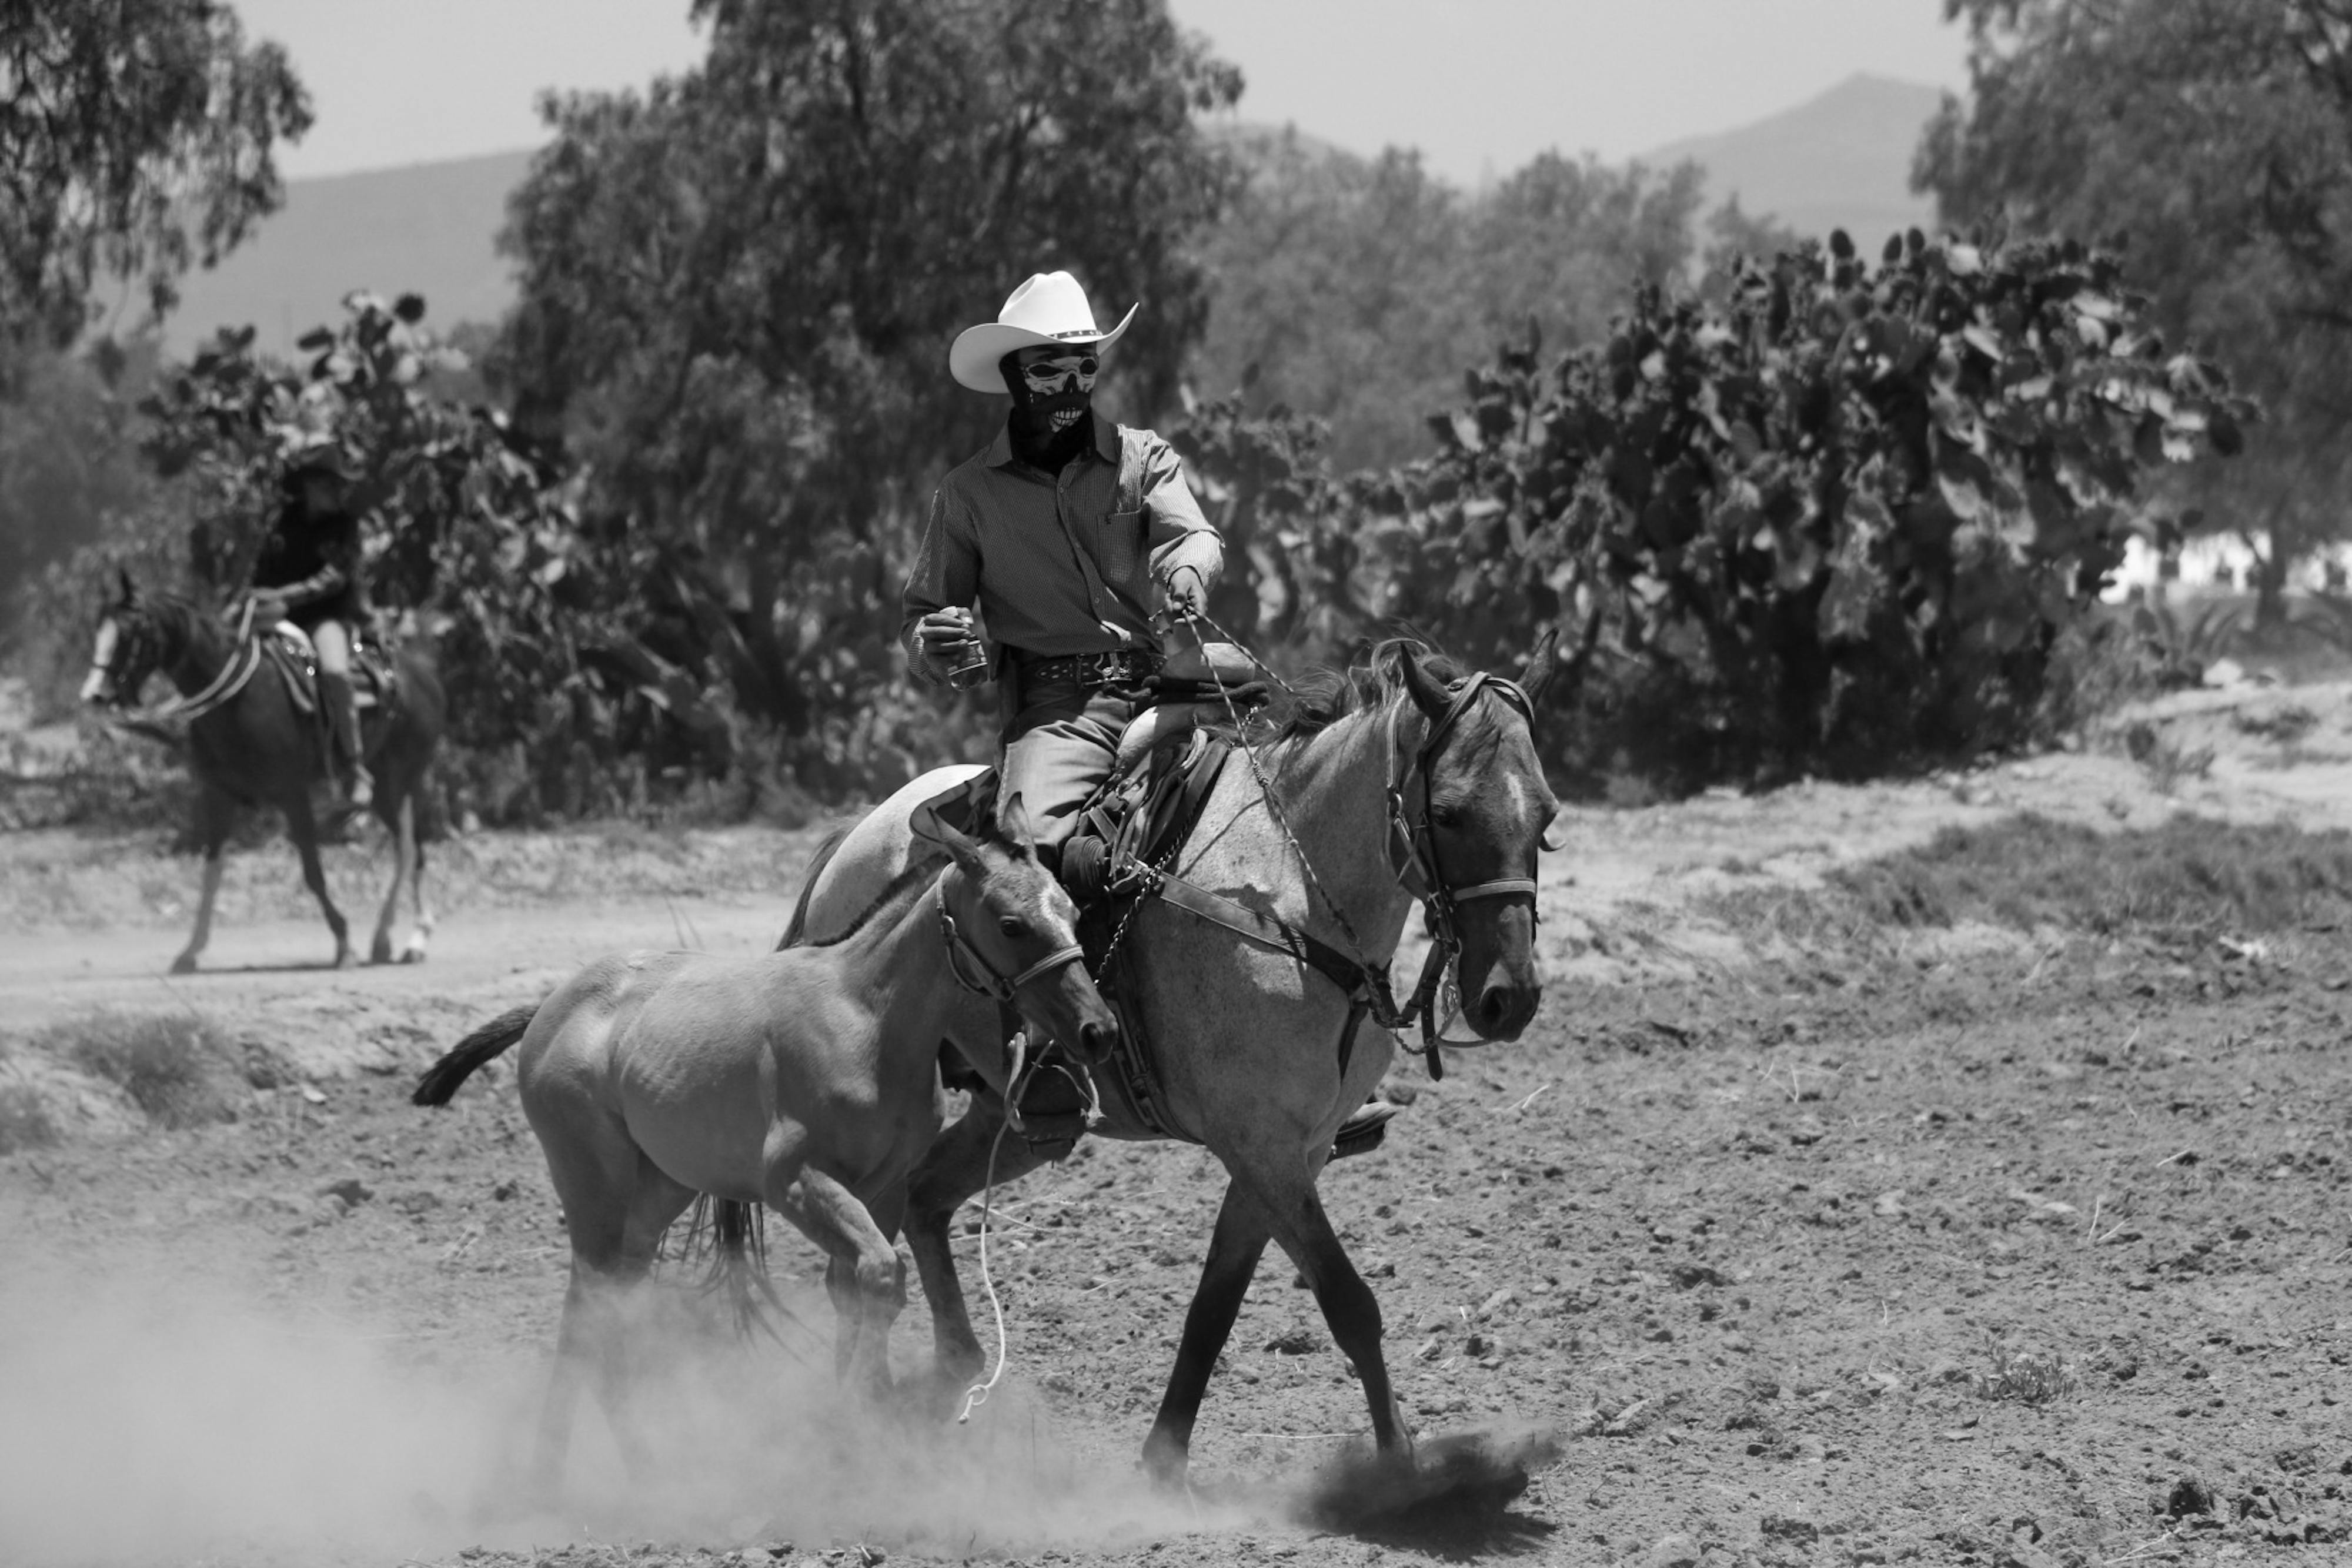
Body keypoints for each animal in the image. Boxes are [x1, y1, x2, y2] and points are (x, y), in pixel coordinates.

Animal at [78, 573, 445, 968]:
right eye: (98, 629)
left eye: (129, 633)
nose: (94, 695)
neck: (238, 699)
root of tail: (424, 676)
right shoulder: (219, 795)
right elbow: (211, 872)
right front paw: (190, 950)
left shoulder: (292, 792)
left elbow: (312, 872)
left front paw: (344, 943)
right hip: (387, 790)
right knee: (406, 848)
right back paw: (384, 939)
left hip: (399, 780)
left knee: (411, 848)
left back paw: (415, 939)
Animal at [409, 799, 1115, 1495]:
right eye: (1011, 924)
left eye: (1072, 908)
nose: (1098, 1029)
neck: (867, 1018)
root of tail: (546, 1008)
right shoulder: (795, 1182)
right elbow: (881, 1277)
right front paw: (859, 1429)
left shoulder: (883, 1188)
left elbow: (859, 1287)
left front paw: (856, 1440)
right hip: (591, 1185)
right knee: (590, 1310)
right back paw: (558, 1476)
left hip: (656, 1195)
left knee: (607, 1306)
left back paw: (631, 1466)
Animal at [781, 634, 1571, 1486]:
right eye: (1449, 812)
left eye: (1547, 816)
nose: (1509, 996)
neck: (1289, 897)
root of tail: (857, 837)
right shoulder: (1261, 1146)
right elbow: (1349, 1301)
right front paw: (1400, 1476)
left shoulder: (1289, 1152)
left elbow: (1214, 1307)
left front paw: (1164, 1460)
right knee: (860, 1252)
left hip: (1015, 1119)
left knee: (926, 1200)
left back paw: (952, 1371)